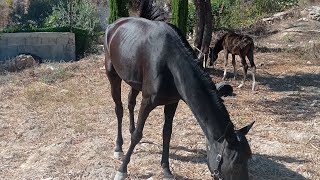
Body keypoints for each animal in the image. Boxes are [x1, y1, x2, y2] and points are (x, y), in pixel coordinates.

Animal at [105, 0, 255, 179]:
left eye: (249, 157)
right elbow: (137, 135)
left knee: (130, 102)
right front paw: (122, 170)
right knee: (119, 108)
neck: (170, 62)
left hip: (134, 80)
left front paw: (166, 169)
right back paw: (118, 147)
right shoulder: (147, 101)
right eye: (237, 162)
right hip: (112, 75)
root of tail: (114, 25)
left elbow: (167, 133)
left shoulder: (172, 102)